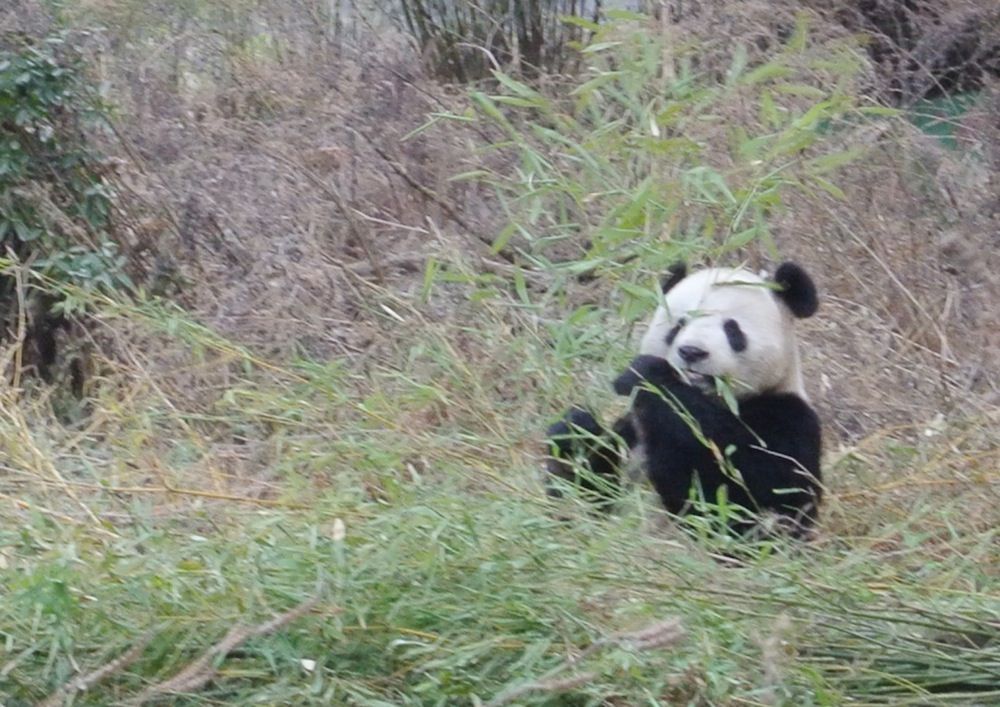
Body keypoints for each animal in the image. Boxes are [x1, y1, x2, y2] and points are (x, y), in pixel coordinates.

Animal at [548, 262, 820, 540]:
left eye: (732, 329)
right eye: (679, 325)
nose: (692, 352)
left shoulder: (788, 417)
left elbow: (753, 491)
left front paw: (650, 377)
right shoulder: (633, 430)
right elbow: (589, 493)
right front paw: (574, 432)